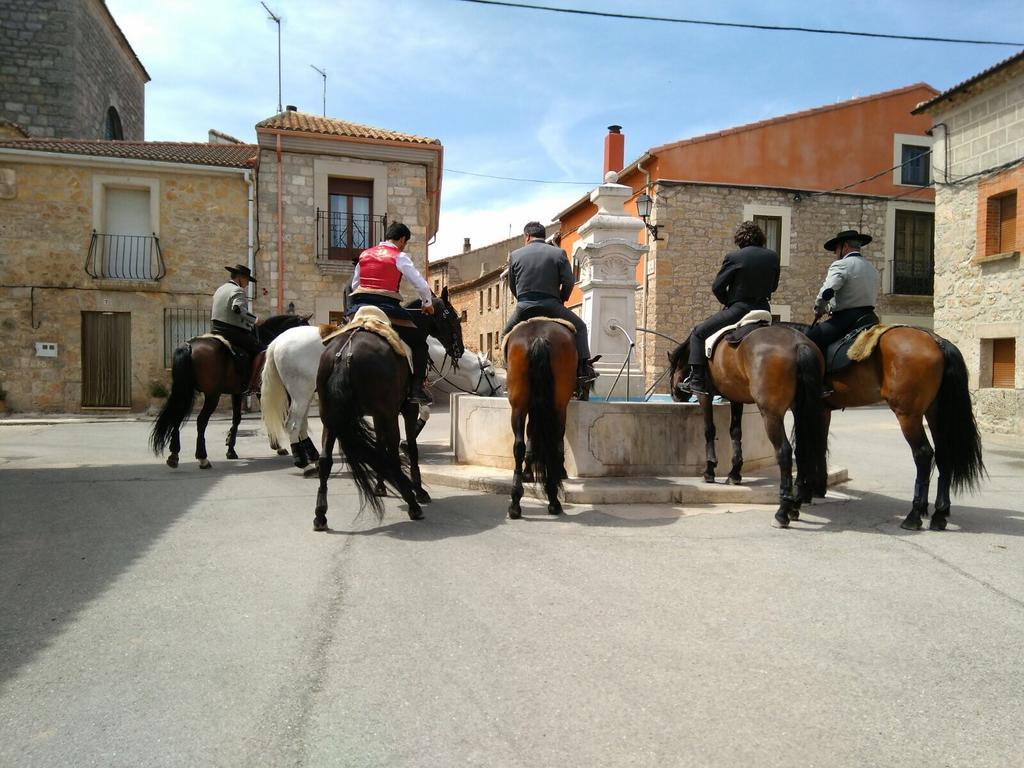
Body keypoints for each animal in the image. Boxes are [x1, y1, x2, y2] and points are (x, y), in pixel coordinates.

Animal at [149, 313, 307, 468]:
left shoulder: (237, 393)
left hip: (187, 391)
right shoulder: (262, 391)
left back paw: (174, 455)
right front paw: (278, 446)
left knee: (178, 415)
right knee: (201, 421)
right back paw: (202, 458)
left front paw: (231, 449)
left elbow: (237, 418)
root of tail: (189, 346)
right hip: (212, 395)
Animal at [262, 325, 501, 468]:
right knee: (293, 423)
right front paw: (405, 442)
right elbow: (423, 411)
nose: (499, 392)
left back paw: (309, 453)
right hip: (301, 392)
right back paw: (300, 458)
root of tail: (278, 341)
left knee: (300, 422)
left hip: (301, 393)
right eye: (490, 373)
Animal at [501, 315, 577, 520]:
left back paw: (515, 502)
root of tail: (539, 337)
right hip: (558, 405)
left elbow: (531, 436)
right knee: (554, 443)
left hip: (518, 405)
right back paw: (553, 498)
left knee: (519, 446)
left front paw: (528, 473)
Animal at [671, 325, 831, 528]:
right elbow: (735, 432)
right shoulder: (736, 397)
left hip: (771, 414)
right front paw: (735, 473)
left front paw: (710, 470)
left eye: (673, 368)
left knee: (784, 452)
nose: (675, 394)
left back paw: (782, 511)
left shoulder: (704, 396)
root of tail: (799, 343)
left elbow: (709, 430)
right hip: (802, 409)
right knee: (804, 450)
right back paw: (796, 505)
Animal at [786, 321, 978, 532]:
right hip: (935, 413)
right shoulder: (822, 411)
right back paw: (939, 515)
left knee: (923, 454)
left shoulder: (804, 409)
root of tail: (937, 341)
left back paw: (914, 515)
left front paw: (802, 494)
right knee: (944, 454)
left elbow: (805, 448)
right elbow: (819, 445)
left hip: (908, 416)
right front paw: (817, 487)